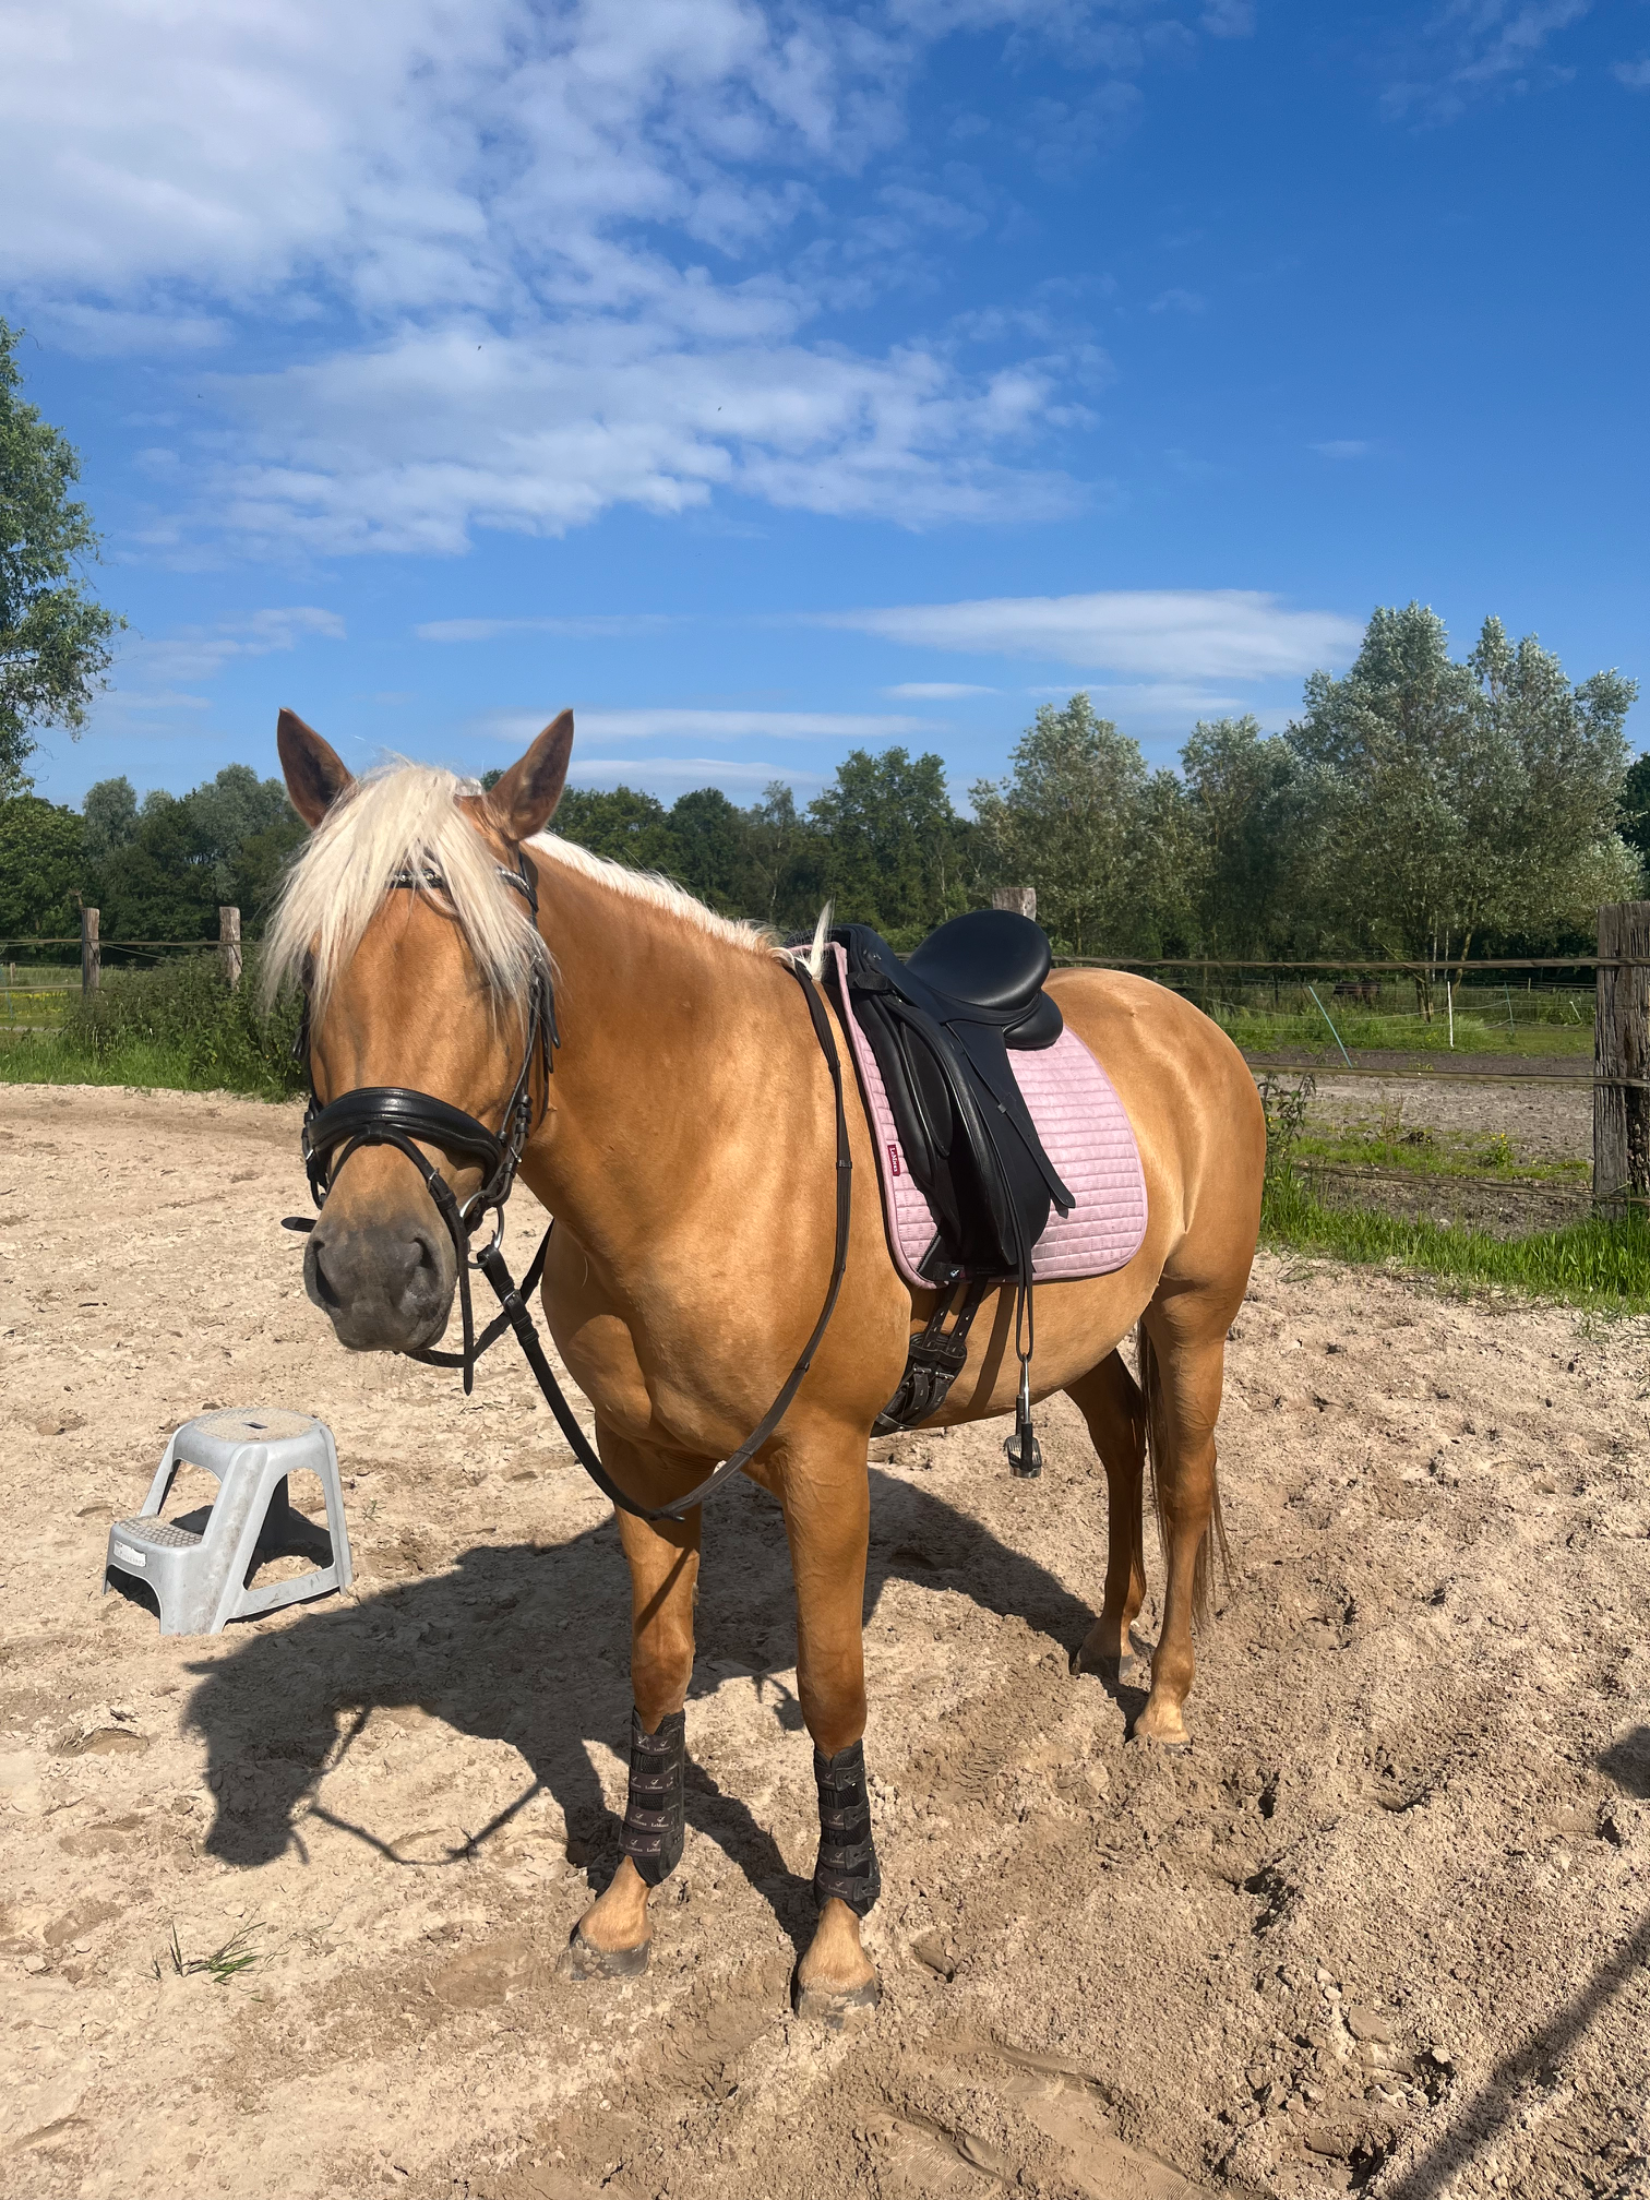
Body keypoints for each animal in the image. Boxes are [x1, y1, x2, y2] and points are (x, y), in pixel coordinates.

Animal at [265, 707, 1266, 2024]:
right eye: (314, 968)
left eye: (513, 974)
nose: (378, 1269)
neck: (702, 1151)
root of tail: (1186, 1024)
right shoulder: (644, 1462)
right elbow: (655, 1671)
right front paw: (630, 1895)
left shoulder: (825, 1464)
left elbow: (835, 1685)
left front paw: (839, 1934)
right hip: (1085, 1330)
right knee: (1119, 1442)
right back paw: (1106, 1637)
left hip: (1194, 1318)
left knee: (1183, 1479)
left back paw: (1165, 1698)